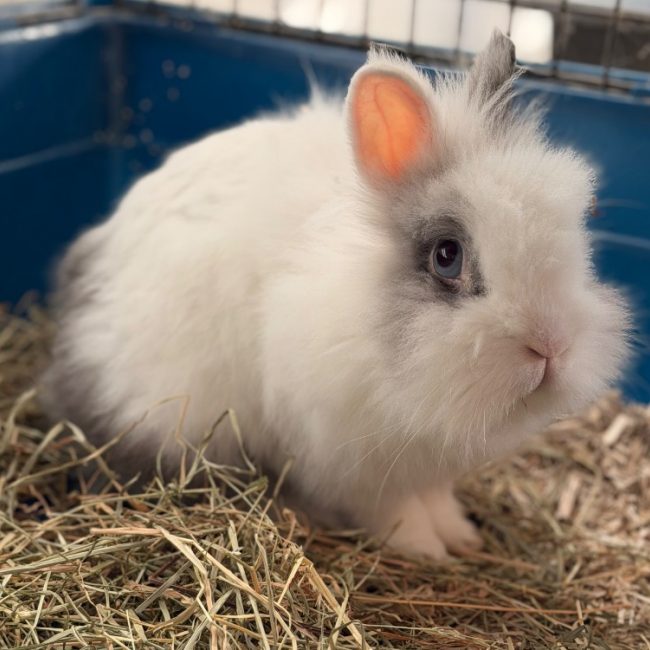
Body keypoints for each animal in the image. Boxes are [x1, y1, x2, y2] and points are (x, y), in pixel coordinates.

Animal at [41, 31, 630, 560]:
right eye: (447, 255)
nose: (550, 346)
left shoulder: (431, 467)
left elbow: (437, 499)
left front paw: (462, 537)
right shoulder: (354, 467)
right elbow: (396, 513)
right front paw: (427, 552)